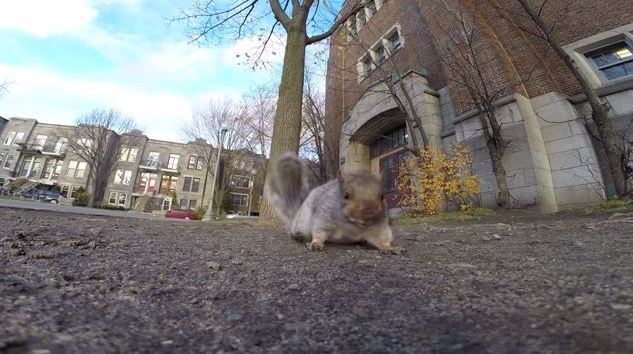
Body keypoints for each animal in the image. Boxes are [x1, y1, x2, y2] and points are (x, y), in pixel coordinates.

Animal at [264, 153, 402, 253]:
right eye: (346, 195)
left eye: (382, 196)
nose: (369, 213)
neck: (353, 226)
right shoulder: (323, 216)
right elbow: (319, 231)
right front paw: (316, 243)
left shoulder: (379, 227)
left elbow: (381, 238)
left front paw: (389, 248)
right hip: (302, 223)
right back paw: (297, 236)